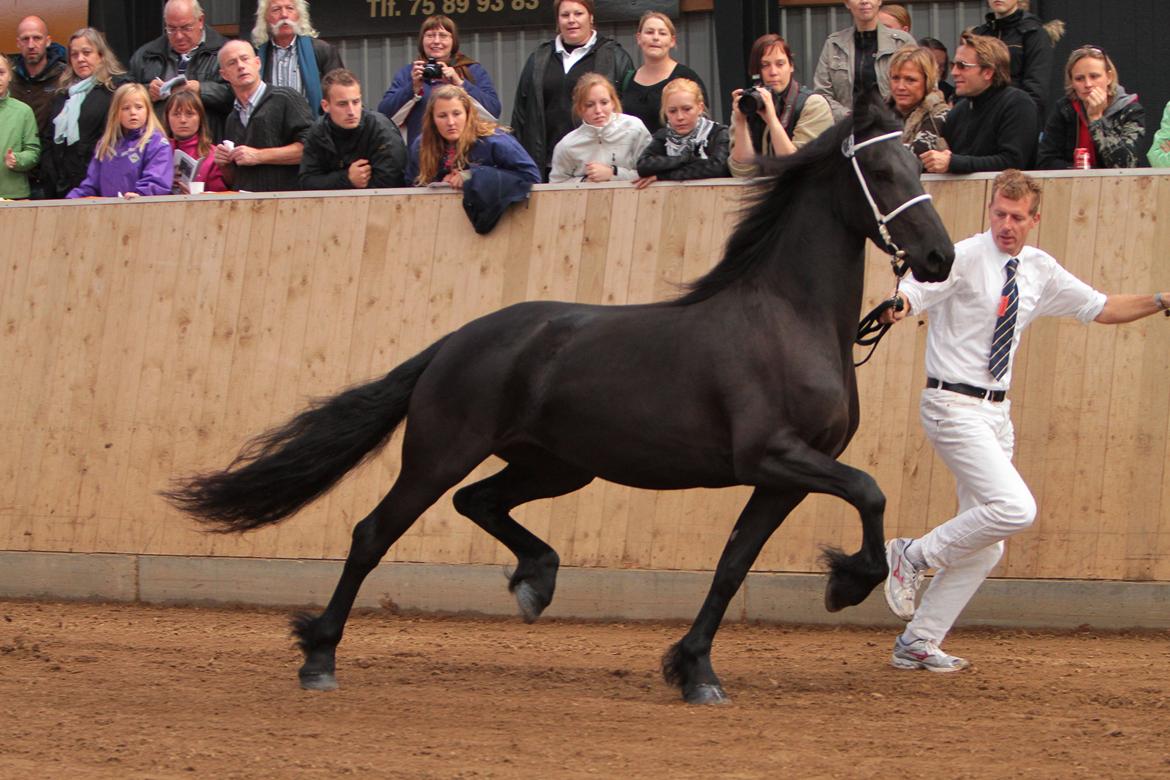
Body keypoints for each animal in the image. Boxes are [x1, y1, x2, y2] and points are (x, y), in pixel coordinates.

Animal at [164, 90, 950, 701]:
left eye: (921, 162)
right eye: (883, 169)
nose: (939, 257)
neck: (788, 318)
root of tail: (455, 342)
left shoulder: (782, 477)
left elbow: (734, 565)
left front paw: (694, 670)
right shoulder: (774, 457)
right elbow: (871, 491)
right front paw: (849, 584)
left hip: (557, 465)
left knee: (478, 502)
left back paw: (536, 580)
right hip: (442, 452)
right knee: (374, 532)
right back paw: (320, 656)